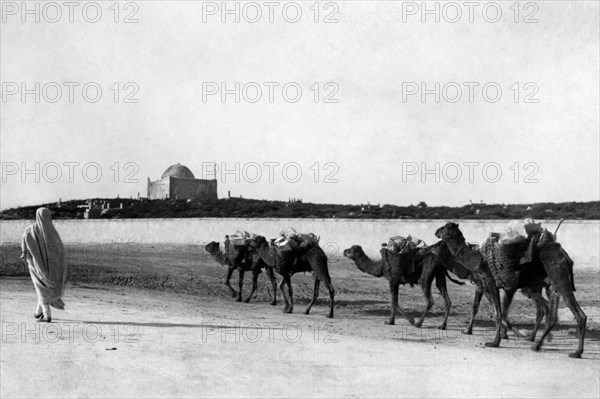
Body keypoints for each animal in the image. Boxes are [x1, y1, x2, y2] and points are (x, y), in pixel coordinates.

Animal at [436, 222, 584, 360]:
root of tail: (564, 255)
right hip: (550, 285)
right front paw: (503, 334)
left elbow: (497, 313)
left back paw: (576, 352)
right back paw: (536, 344)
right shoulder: (495, 286)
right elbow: (497, 310)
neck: (478, 259)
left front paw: (494, 342)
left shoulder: (491, 283)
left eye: (445, 227)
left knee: (575, 312)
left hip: (558, 277)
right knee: (551, 313)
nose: (436, 231)